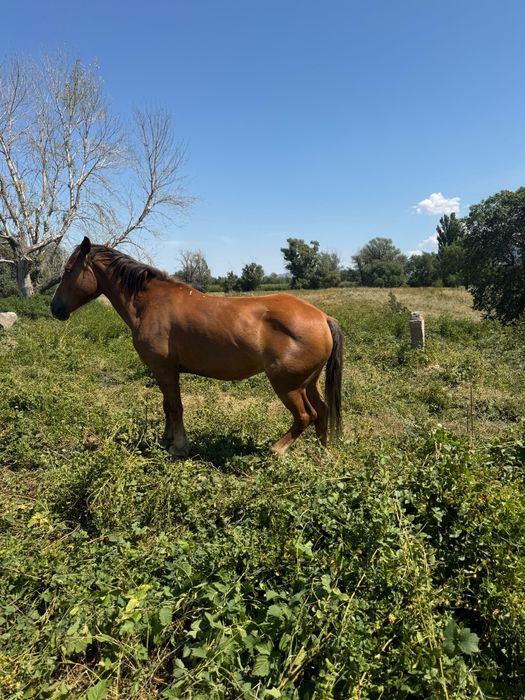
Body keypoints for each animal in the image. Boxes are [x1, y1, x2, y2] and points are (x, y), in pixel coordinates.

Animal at [51, 237, 343, 457]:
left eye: (68, 270)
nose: (55, 308)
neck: (149, 303)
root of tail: (322, 317)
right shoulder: (164, 371)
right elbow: (166, 406)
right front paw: (167, 439)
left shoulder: (164, 369)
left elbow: (175, 406)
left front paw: (179, 447)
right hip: (309, 382)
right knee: (322, 412)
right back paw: (321, 454)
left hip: (288, 385)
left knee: (305, 415)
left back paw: (278, 450)